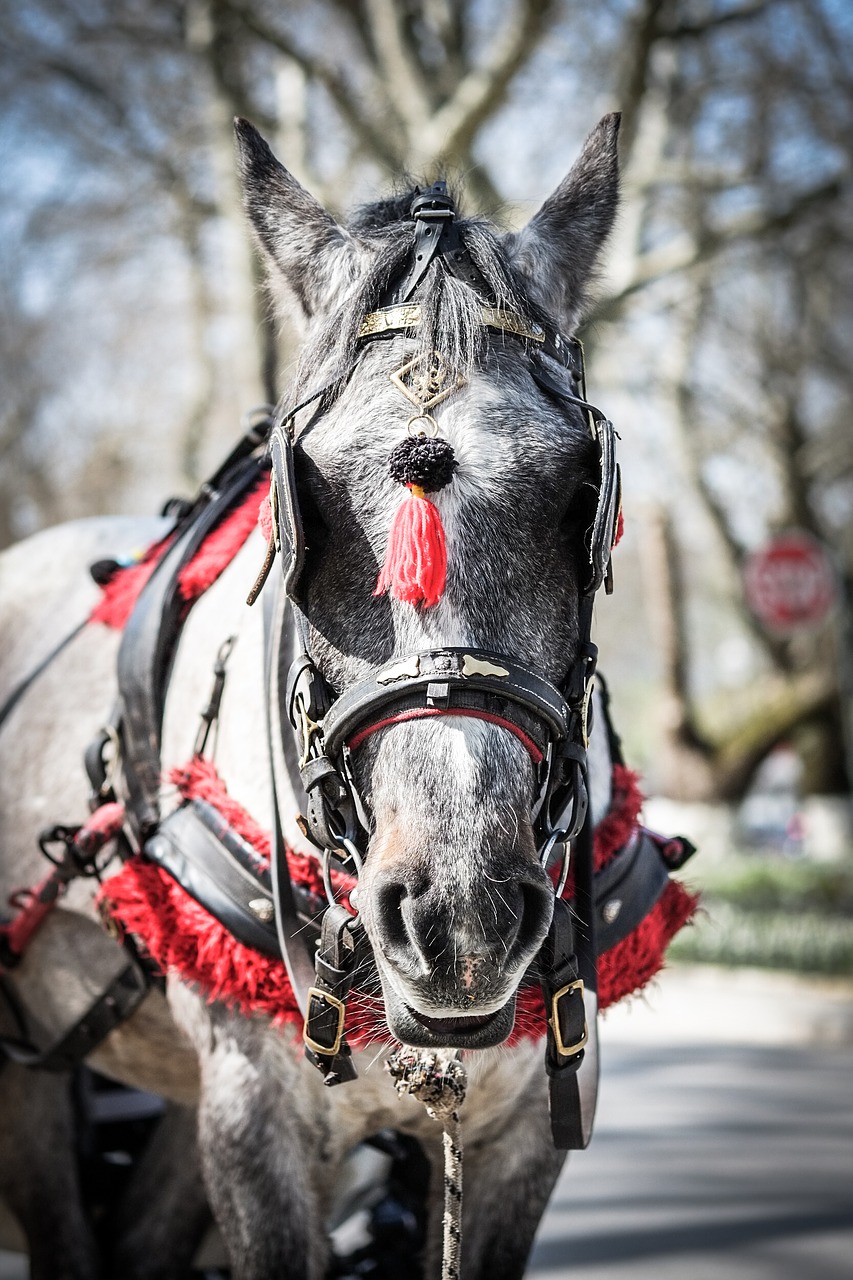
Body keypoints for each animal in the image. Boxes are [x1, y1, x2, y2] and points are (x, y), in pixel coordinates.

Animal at [0, 112, 691, 1280]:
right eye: (304, 498)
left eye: (576, 491)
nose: (458, 914)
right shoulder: (256, 1119)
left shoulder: (518, 1136)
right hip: (39, 1074)